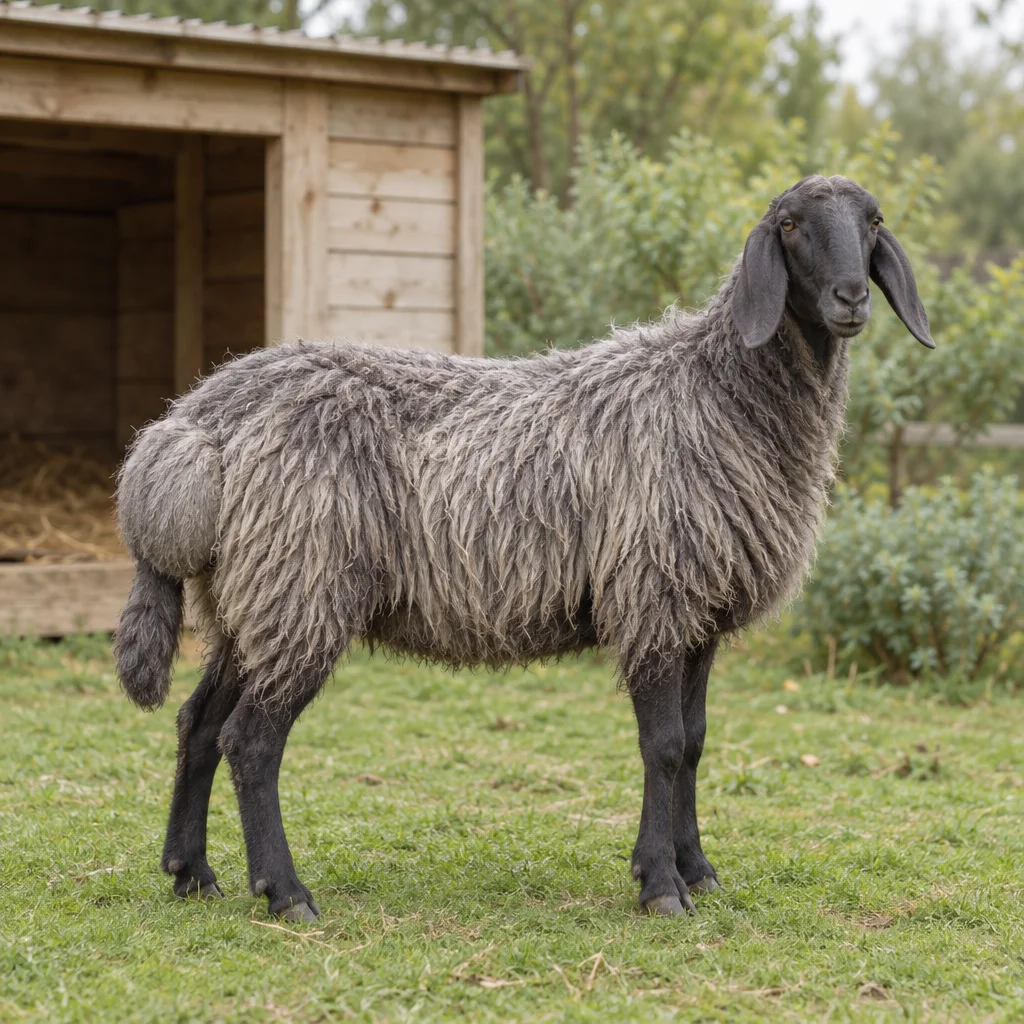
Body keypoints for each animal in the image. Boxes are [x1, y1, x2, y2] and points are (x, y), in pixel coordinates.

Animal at [114, 174, 934, 922]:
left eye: (873, 221)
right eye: (790, 225)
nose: (851, 298)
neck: (717, 390)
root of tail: (194, 422)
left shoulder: (701, 612)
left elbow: (697, 743)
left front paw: (696, 869)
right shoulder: (653, 595)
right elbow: (664, 746)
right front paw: (661, 887)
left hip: (252, 597)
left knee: (199, 724)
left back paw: (192, 874)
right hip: (301, 586)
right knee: (251, 742)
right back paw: (286, 893)